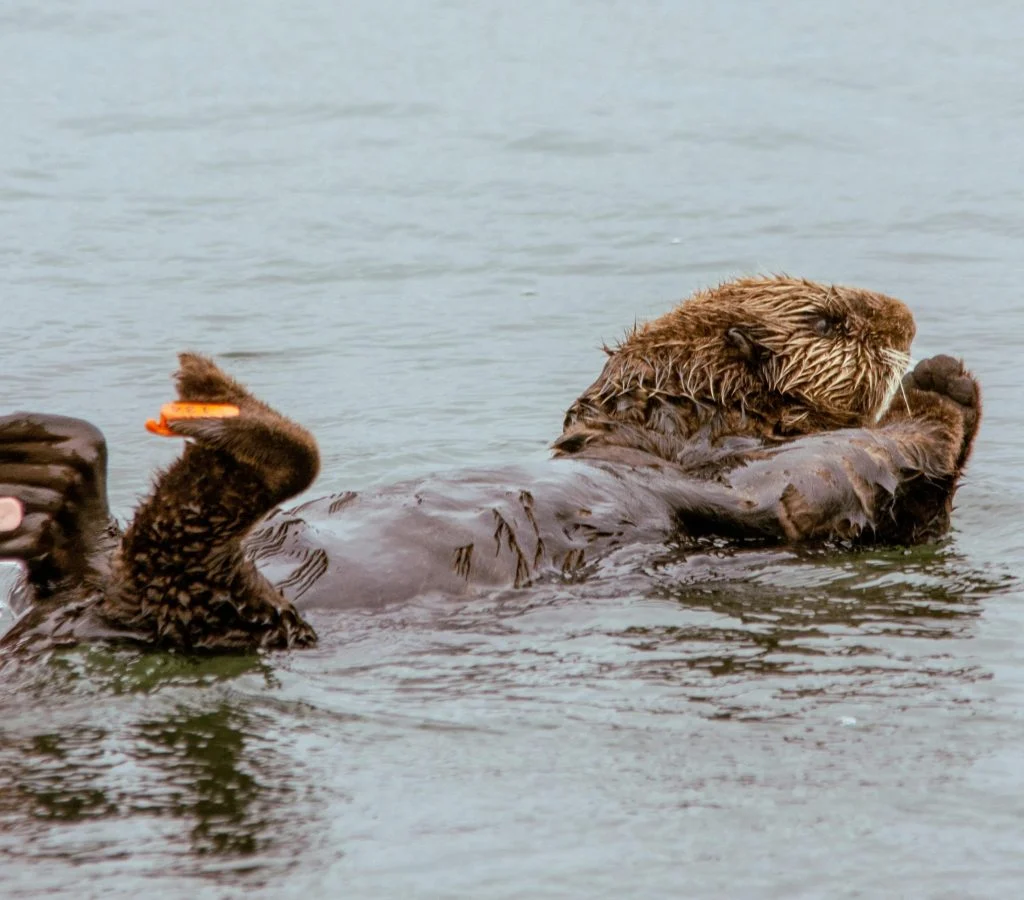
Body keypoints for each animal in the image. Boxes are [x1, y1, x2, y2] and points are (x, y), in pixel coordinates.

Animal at [0, 276, 981, 655]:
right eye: (833, 320)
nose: (902, 315)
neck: (665, 426)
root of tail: (91, 612)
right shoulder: (732, 476)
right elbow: (801, 487)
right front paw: (942, 382)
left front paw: (947, 380)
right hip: (230, 608)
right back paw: (217, 411)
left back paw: (56, 474)